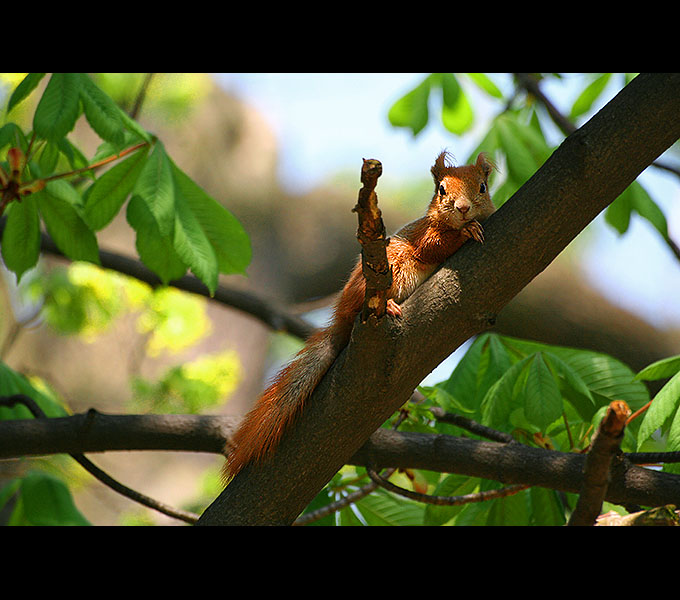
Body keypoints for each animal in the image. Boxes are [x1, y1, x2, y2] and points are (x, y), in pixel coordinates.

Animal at [226, 152, 496, 480]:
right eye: (441, 190)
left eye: (482, 187)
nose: (463, 207)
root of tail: (341, 317)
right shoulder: (422, 234)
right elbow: (434, 245)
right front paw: (465, 232)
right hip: (391, 266)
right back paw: (387, 305)